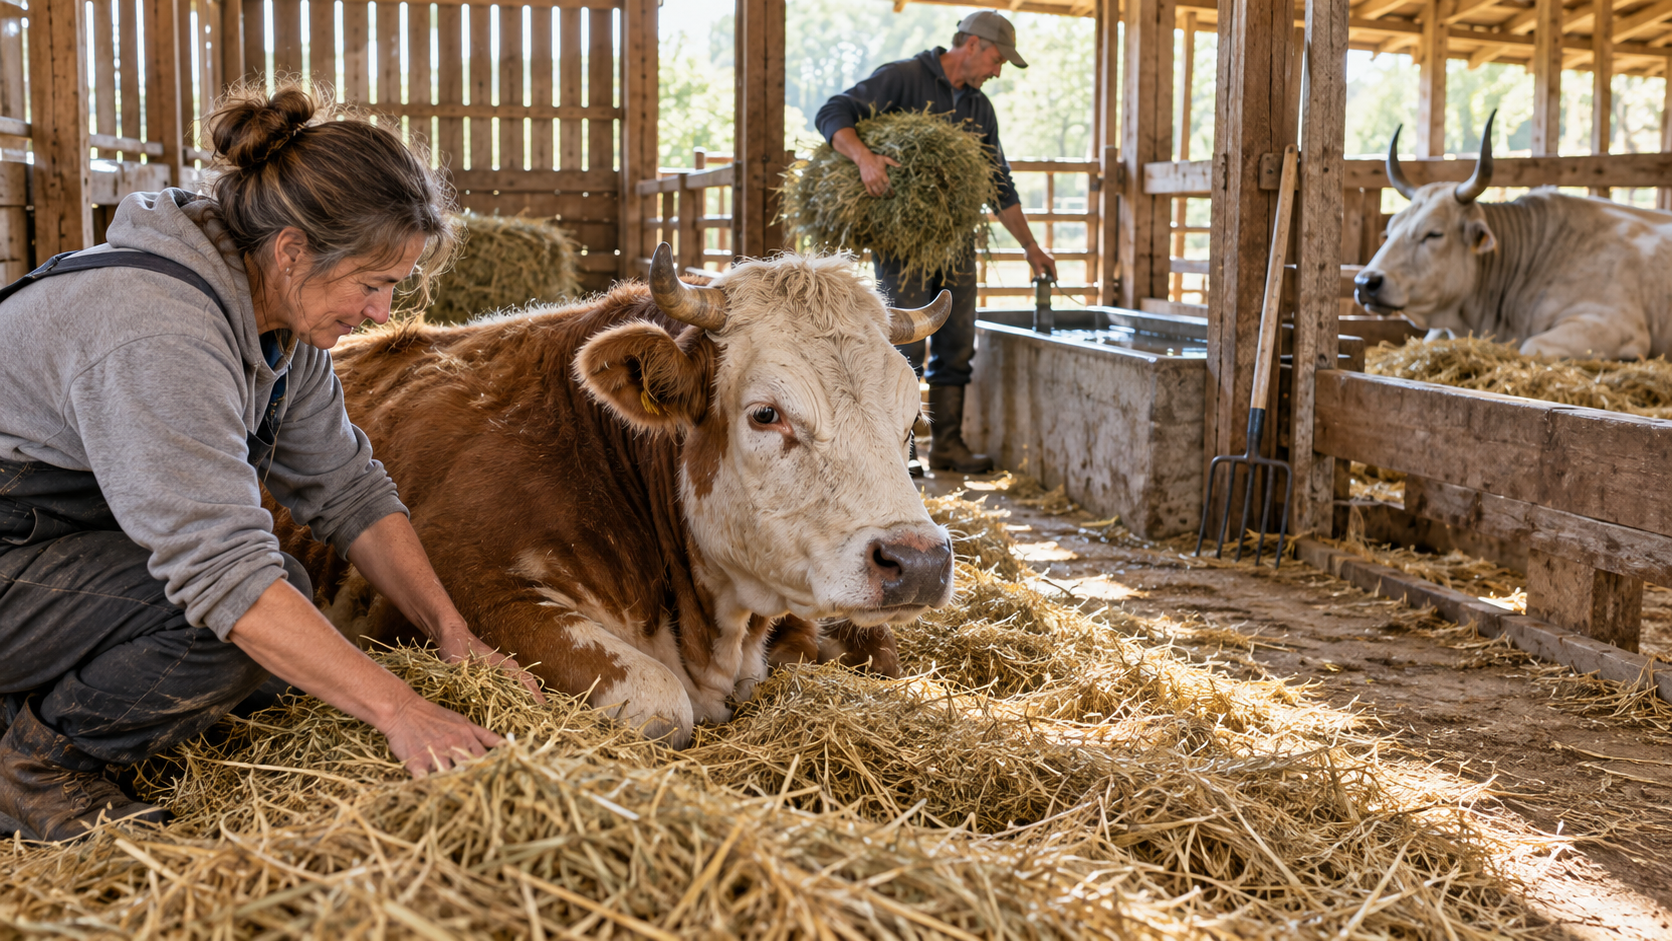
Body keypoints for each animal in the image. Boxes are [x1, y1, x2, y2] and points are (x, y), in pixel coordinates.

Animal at [276, 245, 955, 747]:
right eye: (766, 414)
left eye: (911, 420)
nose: (918, 561)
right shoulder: (458, 582)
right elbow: (660, 702)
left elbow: (878, 654)